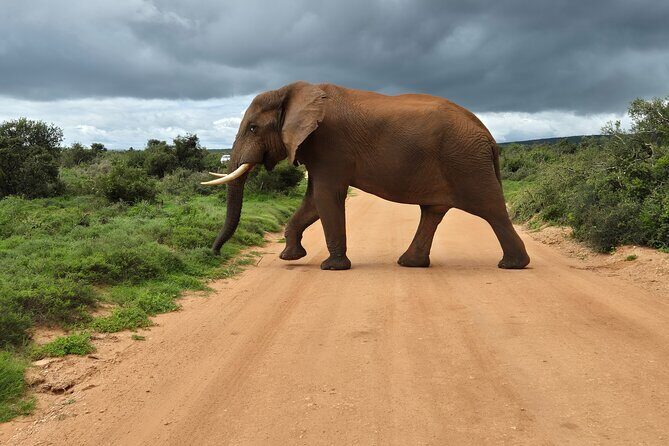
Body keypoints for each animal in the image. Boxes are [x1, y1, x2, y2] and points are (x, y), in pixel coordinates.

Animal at [202, 81, 530, 271]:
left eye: (253, 128)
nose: (214, 254)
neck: (292, 91)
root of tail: (489, 136)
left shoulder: (330, 143)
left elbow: (326, 197)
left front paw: (332, 267)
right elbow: (312, 201)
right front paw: (290, 258)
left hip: (466, 161)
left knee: (491, 209)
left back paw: (513, 265)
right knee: (433, 211)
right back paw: (410, 264)